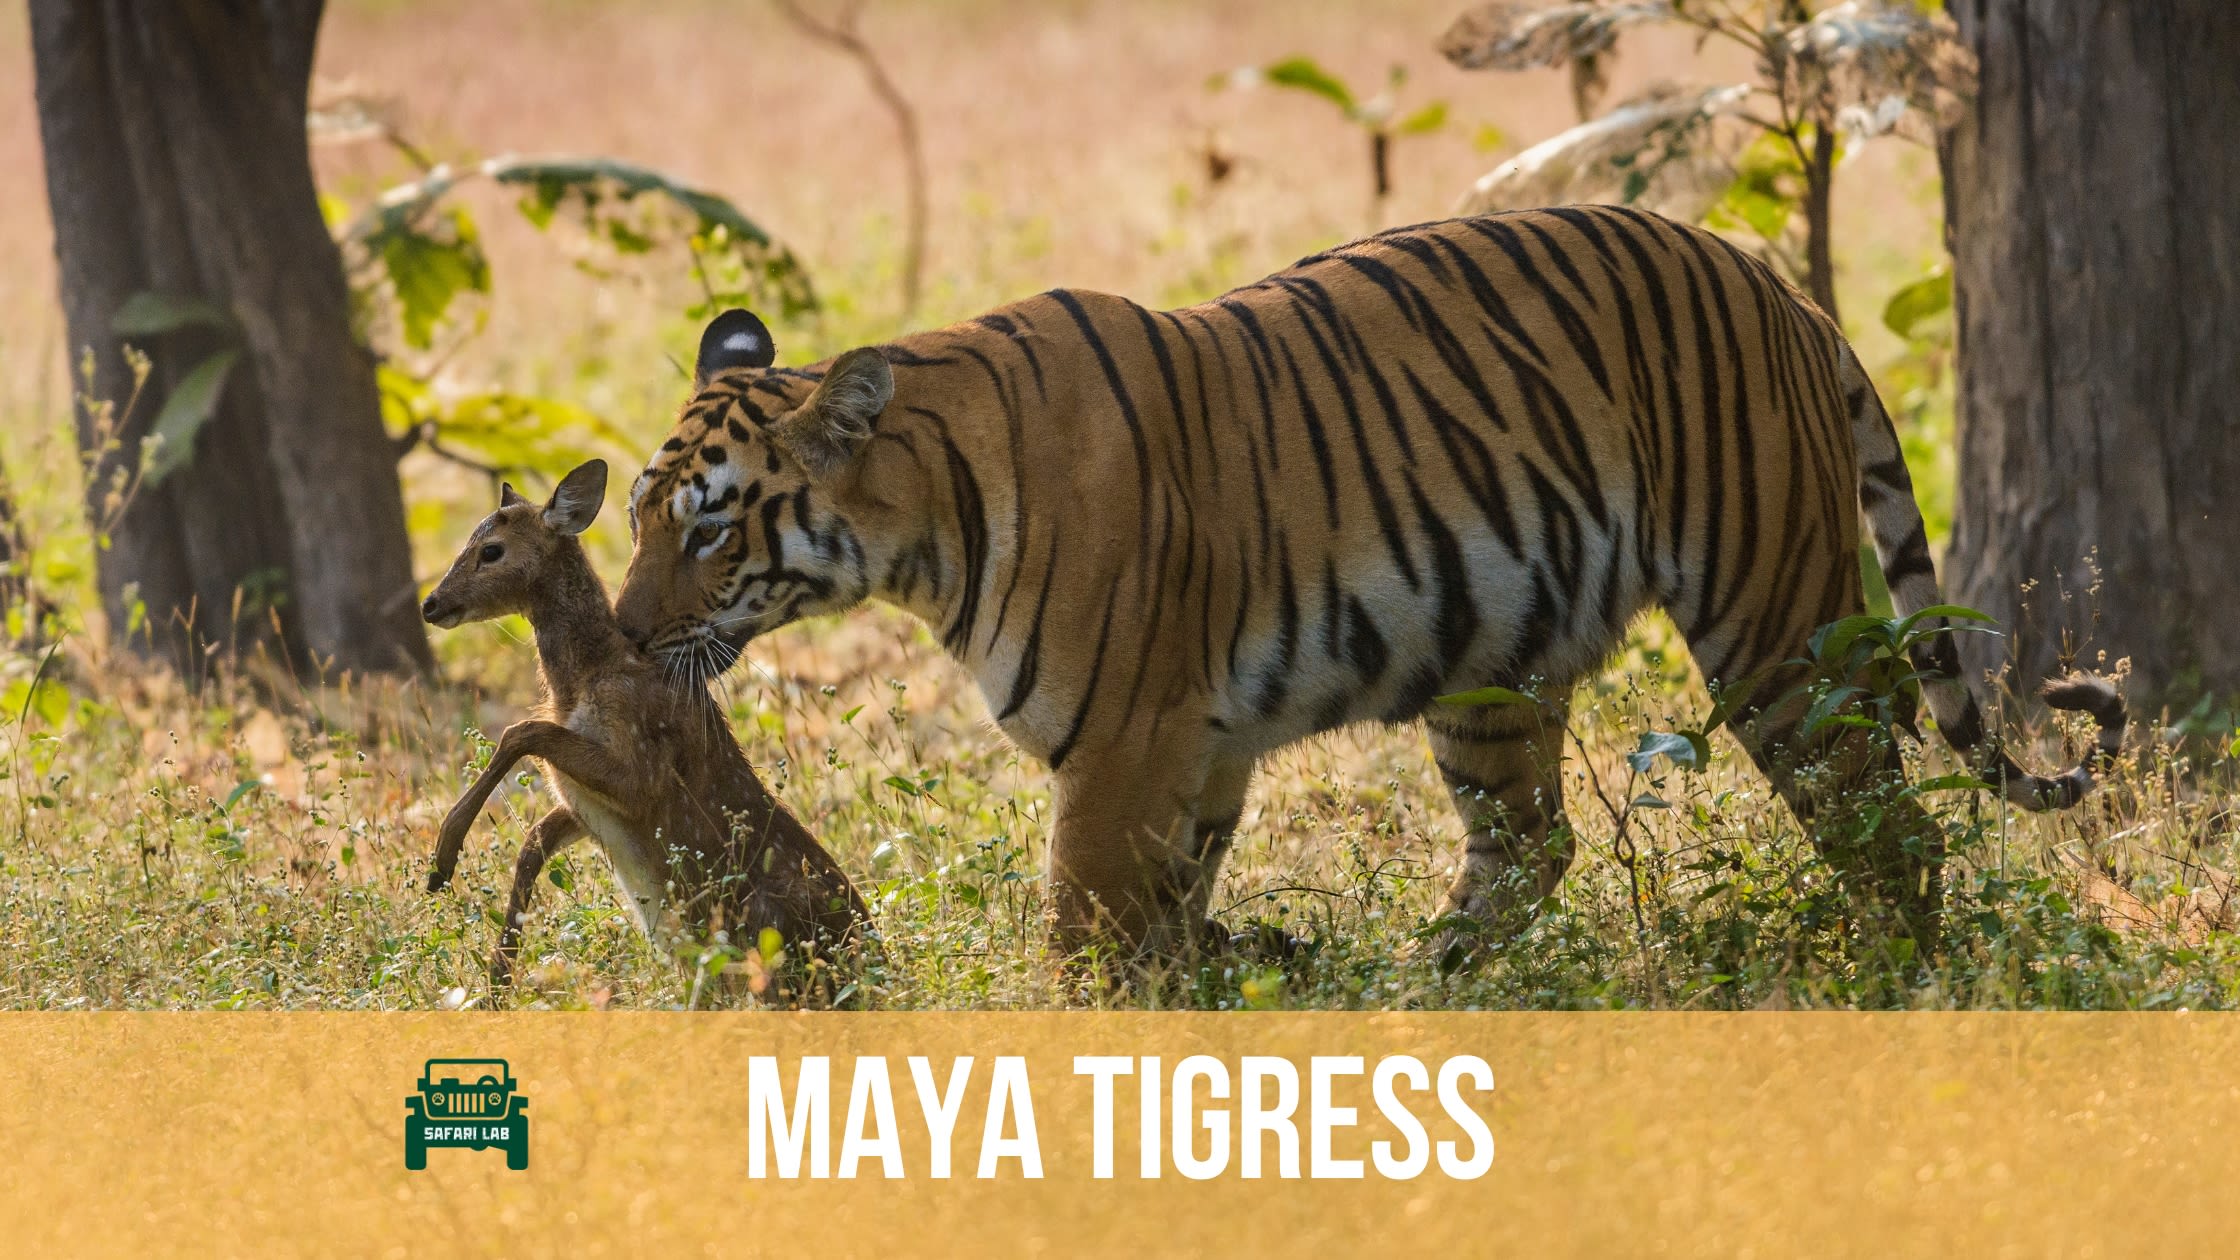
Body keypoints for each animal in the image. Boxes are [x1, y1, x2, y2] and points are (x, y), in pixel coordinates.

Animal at [418, 459, 869, 998]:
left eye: (491, 550)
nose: (430, 604)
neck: (585, 680)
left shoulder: (642, 763)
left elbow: (523, 731)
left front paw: (442, 858)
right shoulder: (584, 801)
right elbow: (533, 838)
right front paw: (496, 981)